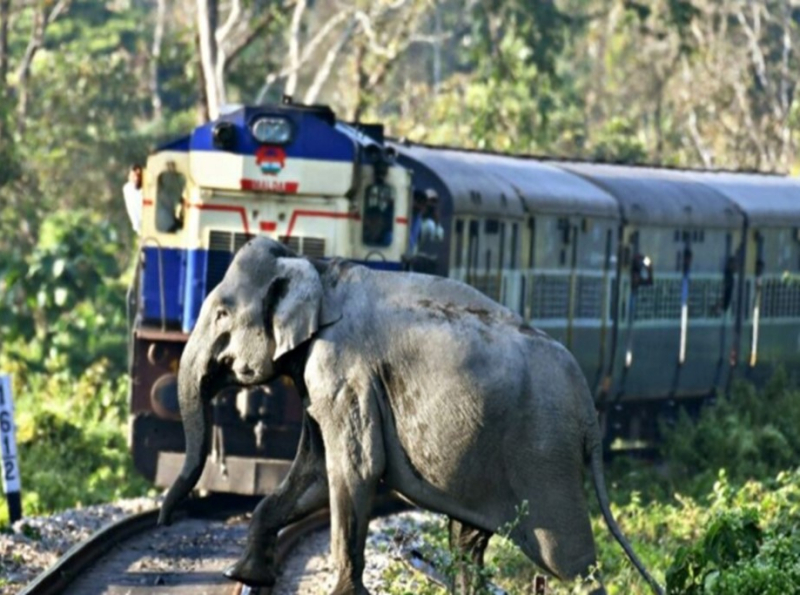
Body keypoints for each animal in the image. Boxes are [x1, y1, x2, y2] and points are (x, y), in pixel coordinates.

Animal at [156, 237, 664, 595]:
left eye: (222, 314)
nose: (162, 520)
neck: (314, 267)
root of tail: (588, 411)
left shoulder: (342, 368)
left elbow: (355, 469)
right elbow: (315, 471)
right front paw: (242, 575)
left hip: (544, 456)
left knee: (570, 560)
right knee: (468, 542)